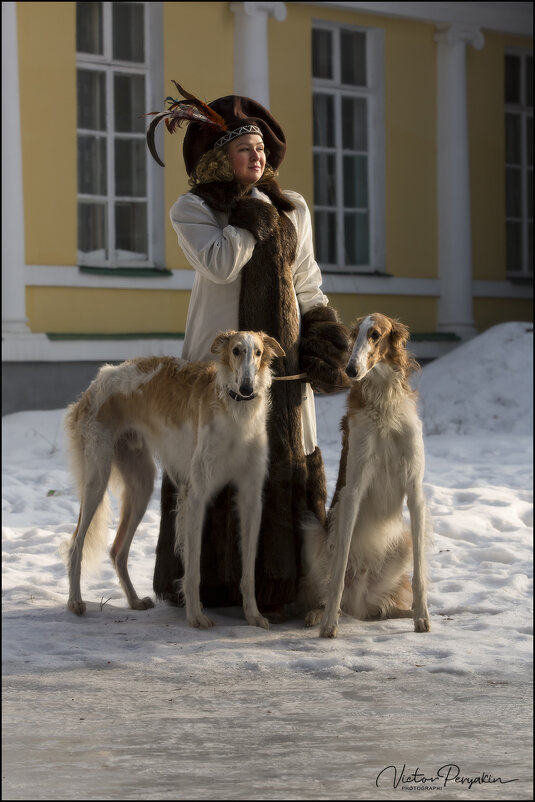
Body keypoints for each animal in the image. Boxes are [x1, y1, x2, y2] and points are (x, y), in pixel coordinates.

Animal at [64, 328, 284, 628]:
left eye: (259, 352)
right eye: (236, 350)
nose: (247, 388)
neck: (235, 412)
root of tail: (97, 381)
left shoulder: (251, 496)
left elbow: (248, 568)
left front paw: (254, 615)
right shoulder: (196, 494)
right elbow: (193, 567)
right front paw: (195, 616)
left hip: (141, 484)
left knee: (117, 551)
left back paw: (134, 600)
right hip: (97, 478)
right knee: (77, 543)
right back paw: (75, 601)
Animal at [304, 312, 434, 636]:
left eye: (375, 334)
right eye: (354, 336)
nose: (351, 370)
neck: (384, 405)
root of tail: (358, 601)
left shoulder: (415, 489)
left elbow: (420, 573)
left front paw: (422, 616)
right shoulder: (353, 490)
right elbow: (338, 569)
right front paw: (329, 625)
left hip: (402, 544)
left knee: (380, 606)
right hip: (314, 531)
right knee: (328, 587)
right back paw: (320, 613)